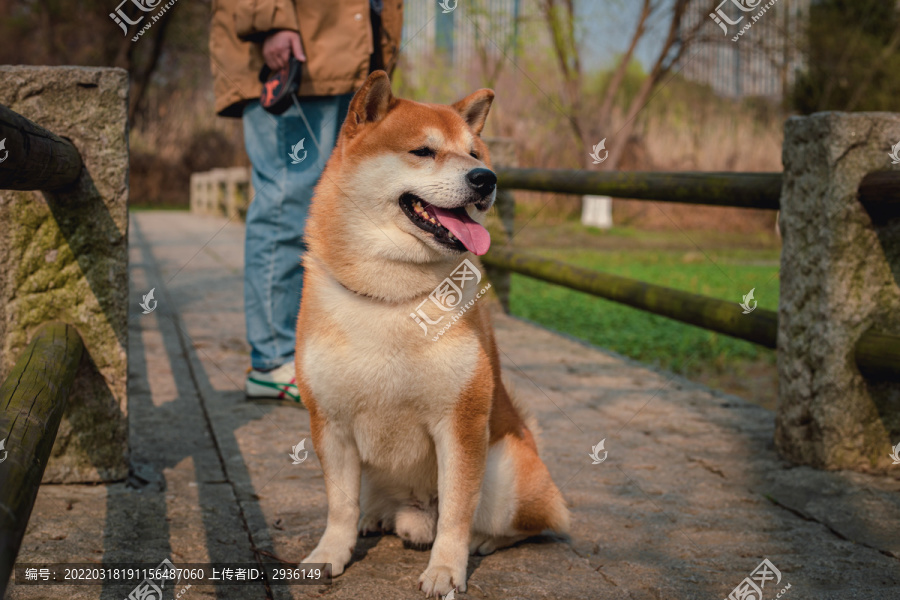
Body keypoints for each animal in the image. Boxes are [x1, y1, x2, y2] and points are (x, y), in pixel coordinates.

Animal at [296, 69, 568, 596]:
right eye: (424, 151)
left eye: (475, 154)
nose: (486, 179)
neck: (393, 296)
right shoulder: (330, 422)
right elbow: (339, 506)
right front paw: (330, 553)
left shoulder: (460, 423)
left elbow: (457, 512)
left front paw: (445, 570)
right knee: (373, 504)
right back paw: (375, 518)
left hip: (505, 473)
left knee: (528, 524)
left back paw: (484, 541)